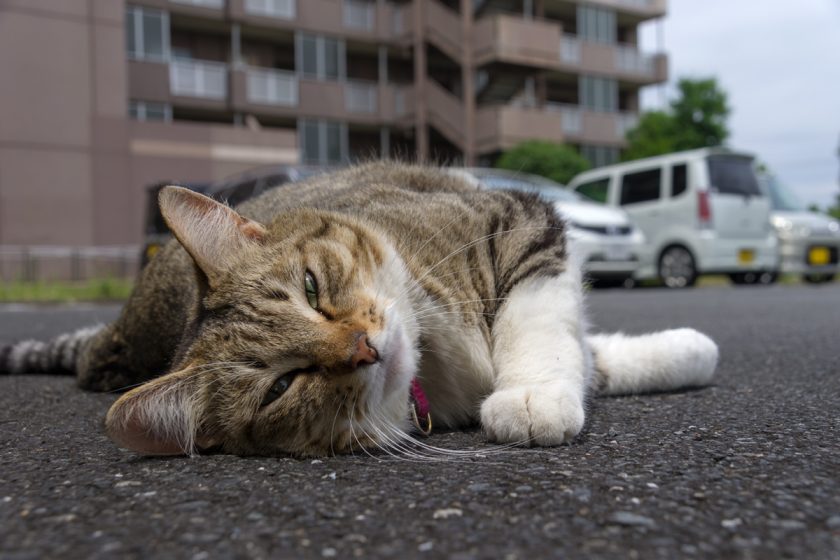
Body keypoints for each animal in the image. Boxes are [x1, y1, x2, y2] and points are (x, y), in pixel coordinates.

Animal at [3, 161, 720, 456]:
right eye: (281, 386)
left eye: (312, 288)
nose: (365, 348)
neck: (440, 365)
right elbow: (566, 344)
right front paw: (536, 399)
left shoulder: (516, 218)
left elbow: (548, 323)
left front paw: (687, 349)